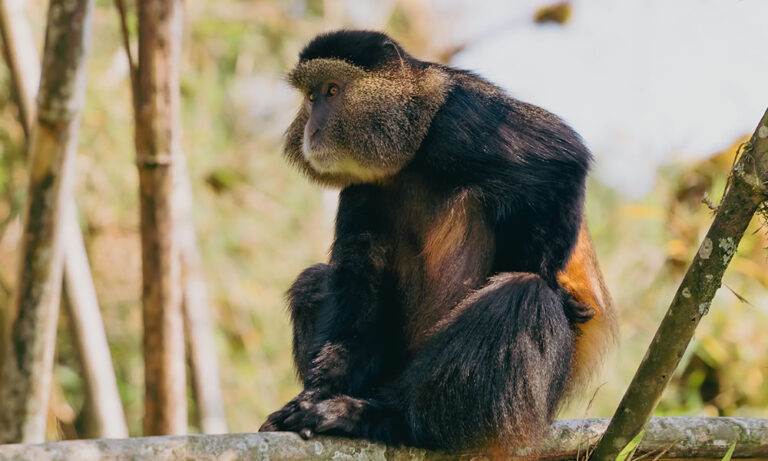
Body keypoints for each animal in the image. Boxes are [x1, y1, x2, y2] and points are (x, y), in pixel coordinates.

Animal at [259, 30, 616, 452]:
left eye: (332, 90)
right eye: (311, 97)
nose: (312, 128)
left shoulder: (463, 119)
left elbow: (562, 160)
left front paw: (563, 294)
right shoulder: (362, 186)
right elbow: (359, 278)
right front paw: (318, 392)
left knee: (523, 293)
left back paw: (390, 419)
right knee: (312, 280)